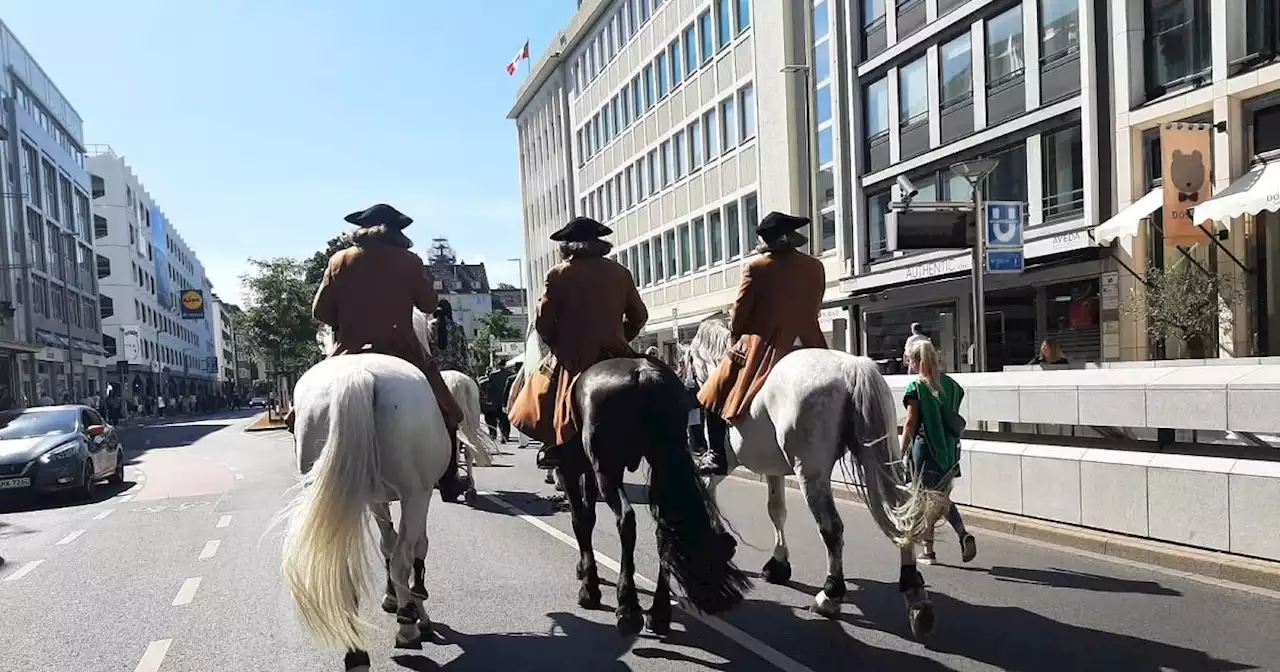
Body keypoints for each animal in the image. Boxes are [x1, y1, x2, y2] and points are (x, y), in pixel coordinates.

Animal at [280, 350, 450, 665]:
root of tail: (357, 376)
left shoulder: (374, 499)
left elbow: (387, 542)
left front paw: (394, 597)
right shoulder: (419, 497)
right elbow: (414, 547)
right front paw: (416, 609)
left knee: (343, 568)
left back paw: (356, 649)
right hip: (415, 494)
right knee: (402, 558)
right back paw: (407, 628)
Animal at [558, 353, 747, 637]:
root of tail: (646, 375)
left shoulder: (570, 468)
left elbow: (580, 520)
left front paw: (589, 588)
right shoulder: (585, 471)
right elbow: (588, 517)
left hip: (607, 469)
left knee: (626, 520)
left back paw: (628, 608)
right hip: (663, 460)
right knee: (665, 528)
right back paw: (658, 613)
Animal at [686, 316, 936, 640]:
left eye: (688, 361)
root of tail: (851, 366)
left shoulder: (728, 461)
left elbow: (710, 488)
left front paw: (719, 537)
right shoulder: (774, 470)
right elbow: (776, 511)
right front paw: (778, 564)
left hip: (811, 473)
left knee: (831, 529)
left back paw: (830, 596)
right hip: (884, 457)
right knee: (902, 514)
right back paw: (915, 596)